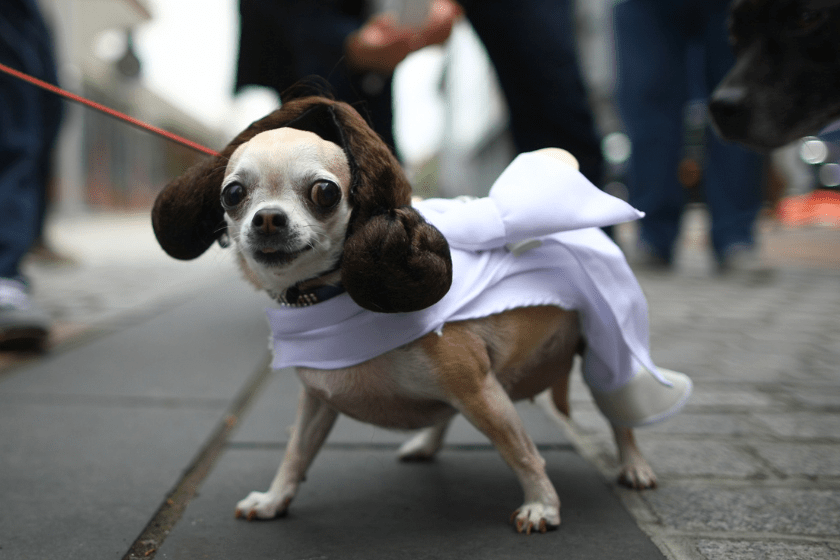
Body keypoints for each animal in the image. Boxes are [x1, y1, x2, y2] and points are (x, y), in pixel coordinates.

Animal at [151, 96, 664, 532]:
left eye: (324, 192)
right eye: (233, 194)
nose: (269, 218)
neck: (334, 296)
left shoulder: (481, 391)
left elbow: (521, 452)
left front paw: (542, 505)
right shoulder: (318, 400)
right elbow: (296, 454)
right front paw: (275, 499)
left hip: (603, 349)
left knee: (621, 414)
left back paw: (634, 465)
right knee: (444, 414)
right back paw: (425, 444)